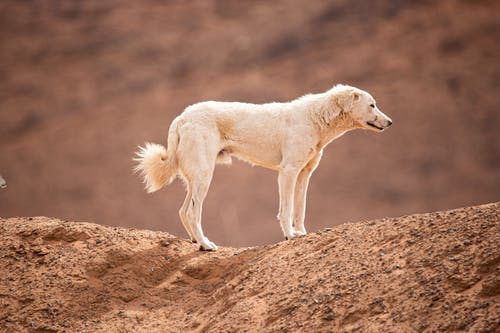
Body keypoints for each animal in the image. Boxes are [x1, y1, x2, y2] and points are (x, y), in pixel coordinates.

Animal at [135, 83, 392, 249]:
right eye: (372, 105)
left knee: (182, 211)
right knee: (192, 212)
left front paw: (301, 233)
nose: (390, 122)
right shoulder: (288, 172)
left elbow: (300, 209)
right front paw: (289, 236)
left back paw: (197, 242)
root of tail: (182, 116)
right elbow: (286, 209)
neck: (316, 117)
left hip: (196, 178)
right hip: (204, 175)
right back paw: (206, 245)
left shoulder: (304, 174)